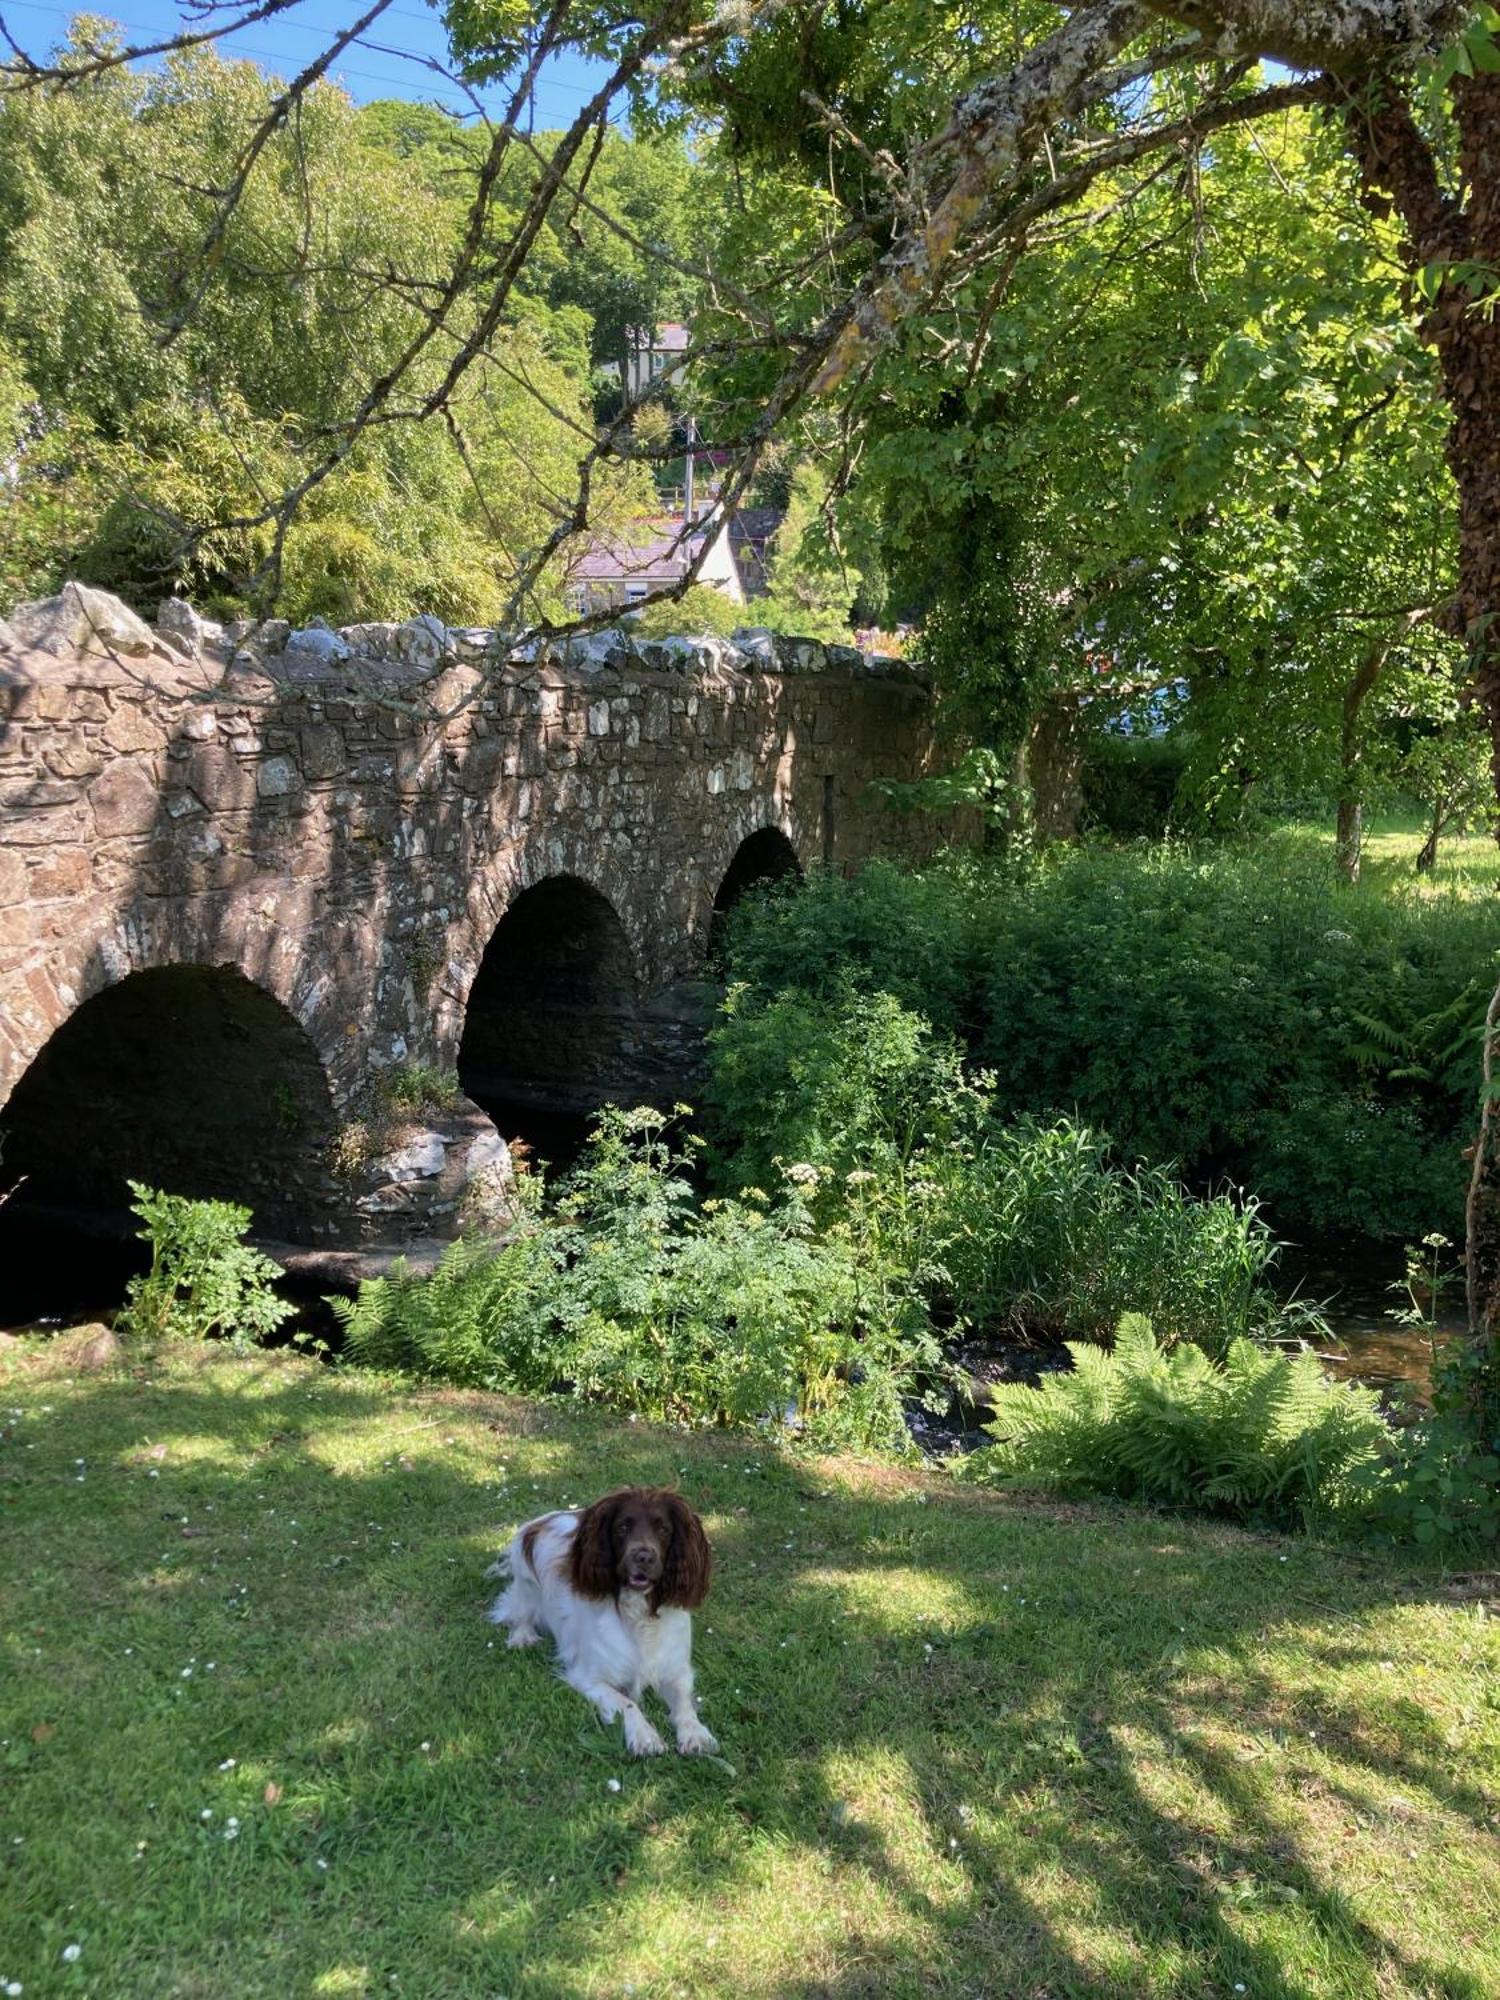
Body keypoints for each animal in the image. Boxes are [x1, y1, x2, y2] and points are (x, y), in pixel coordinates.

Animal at [490, 1488, 720, 1752]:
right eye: (622, 1527)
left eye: (664, 1529)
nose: (643, 1557)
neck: (638, 1613)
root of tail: (541, 1520)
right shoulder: (590, 1678)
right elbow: (627, 1703)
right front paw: (644, 1736)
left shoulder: (676, 1669)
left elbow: (684, 1703)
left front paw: (695, 1733)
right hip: (526, 1584)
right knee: (517, 1611)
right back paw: (523, 1637)